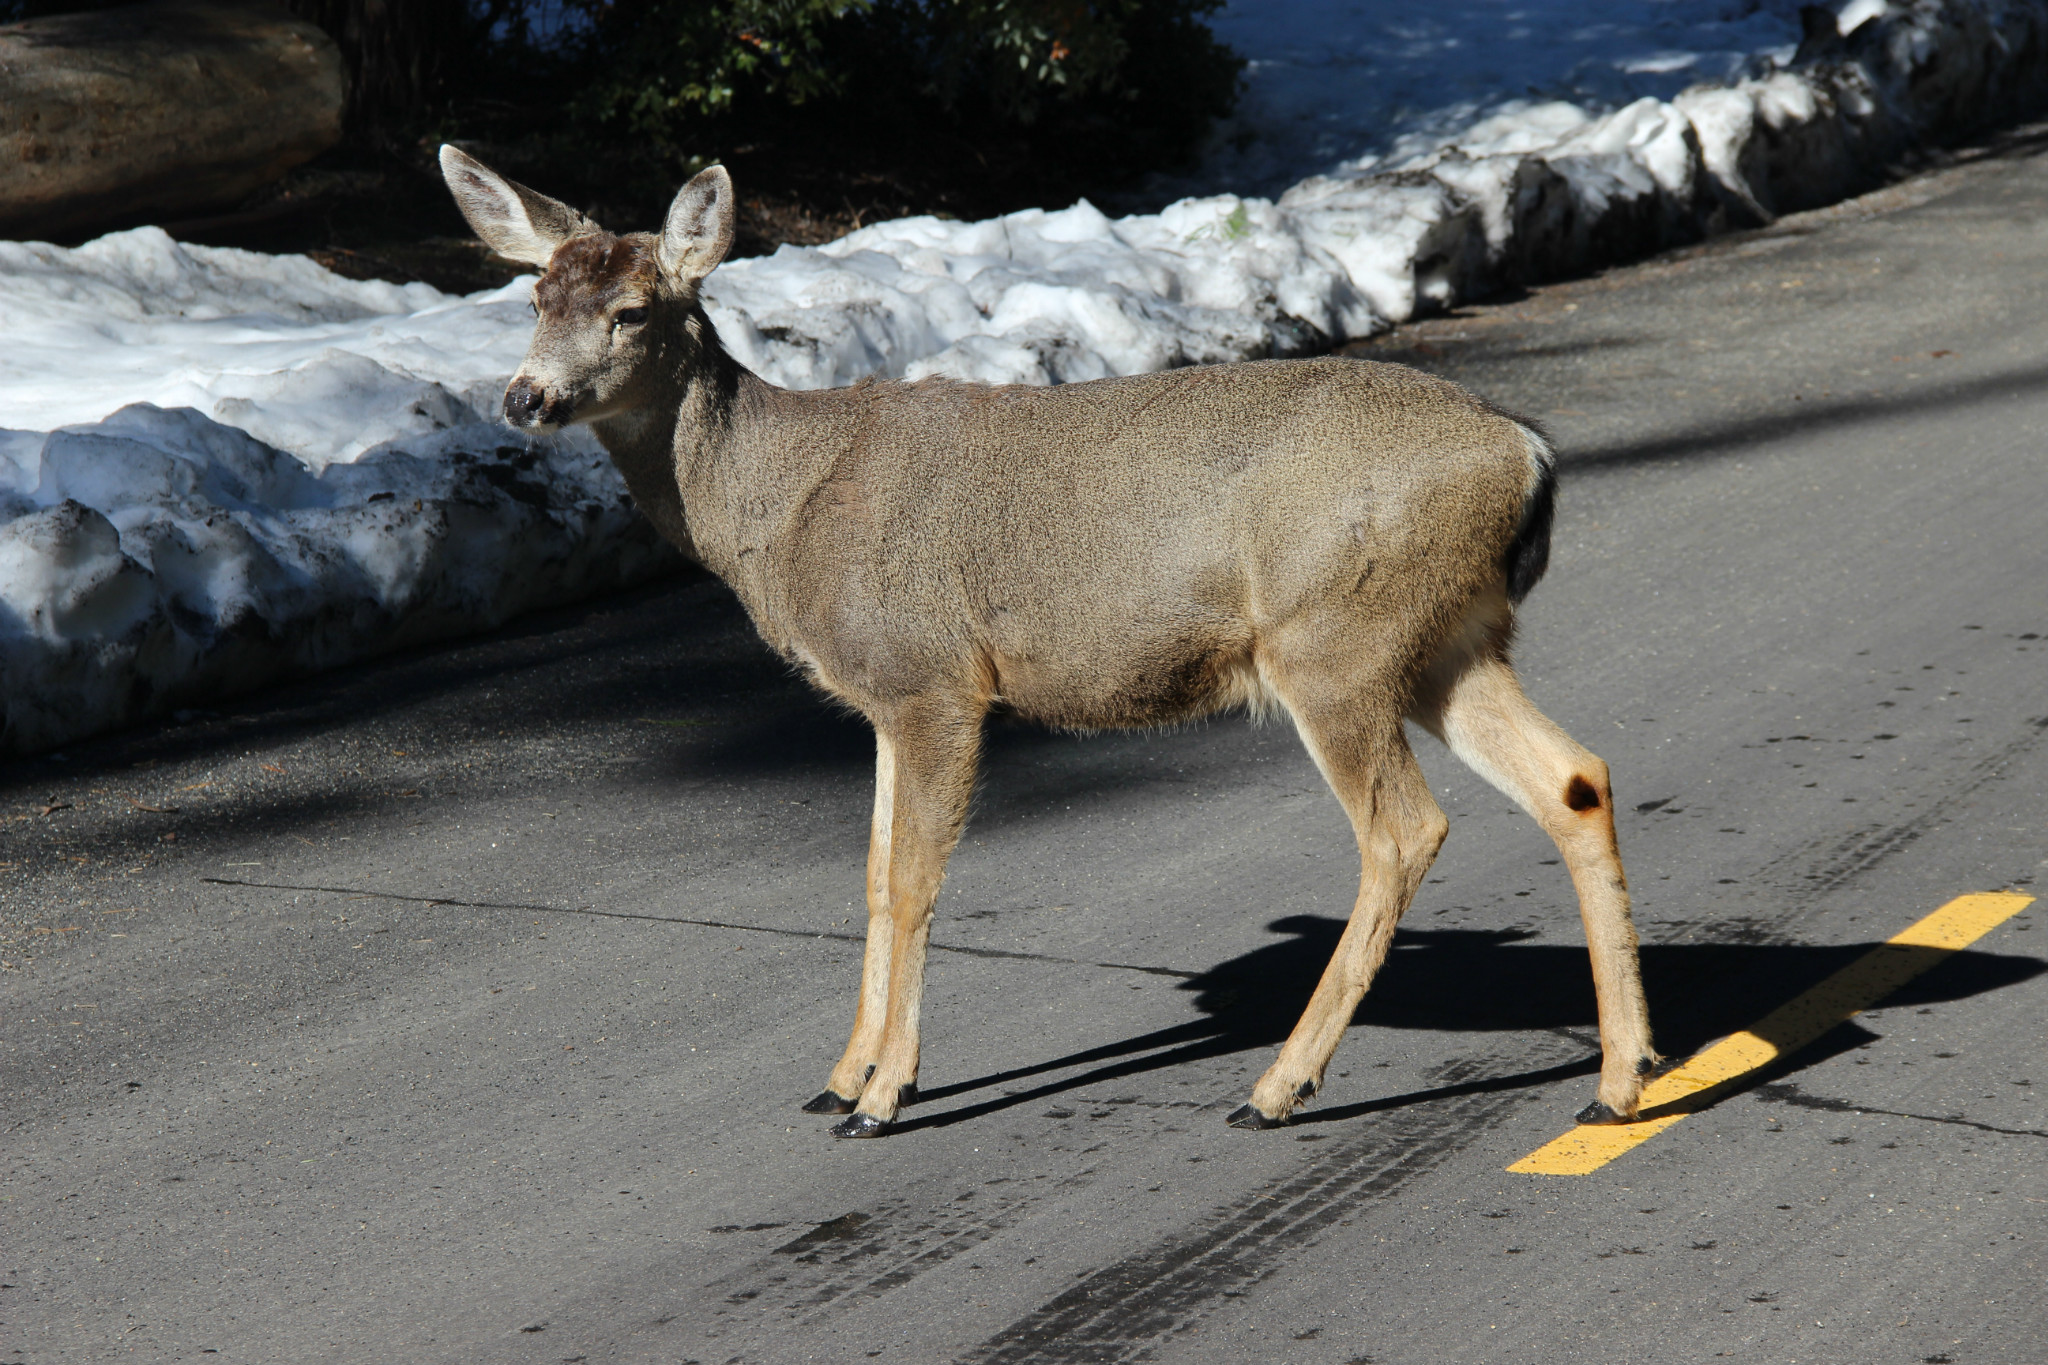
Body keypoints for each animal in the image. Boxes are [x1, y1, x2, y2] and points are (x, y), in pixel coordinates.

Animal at [436, 144, 1662, 1137]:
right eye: (530, 295)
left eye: (633, 311)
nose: (524, 398)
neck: (782, 514)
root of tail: (1521, 451)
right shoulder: (881, 699)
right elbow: (871, 877)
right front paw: (837, 1077)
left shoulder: (935, 679)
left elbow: (915, 881)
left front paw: (884, 1094)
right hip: (1447, 639)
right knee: (1574, 778)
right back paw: (1621, 1079)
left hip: (1332, 638)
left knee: (1405, 830)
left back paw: (1276, 1089)